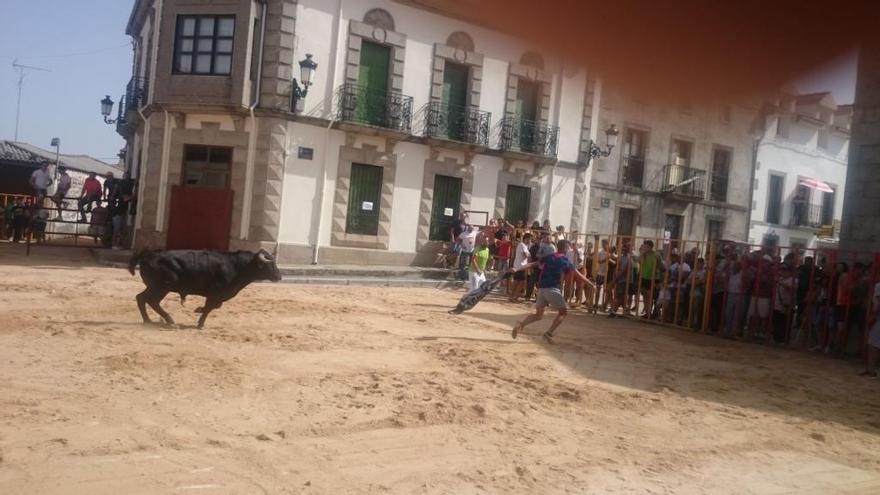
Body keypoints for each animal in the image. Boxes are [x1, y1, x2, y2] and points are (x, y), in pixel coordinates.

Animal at [129, 250, 282, 328]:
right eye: (270, 265)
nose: (279, 277)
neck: (237, 266)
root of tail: (147, 256)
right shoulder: (215, 293)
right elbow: (210, 306)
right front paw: (200, 321)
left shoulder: (218, 295)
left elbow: (214, 306)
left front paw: (199, 312)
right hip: (161, 287)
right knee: (150, 300)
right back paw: (169, 321)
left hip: (155, 287)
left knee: (141, 298)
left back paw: (149, 320)